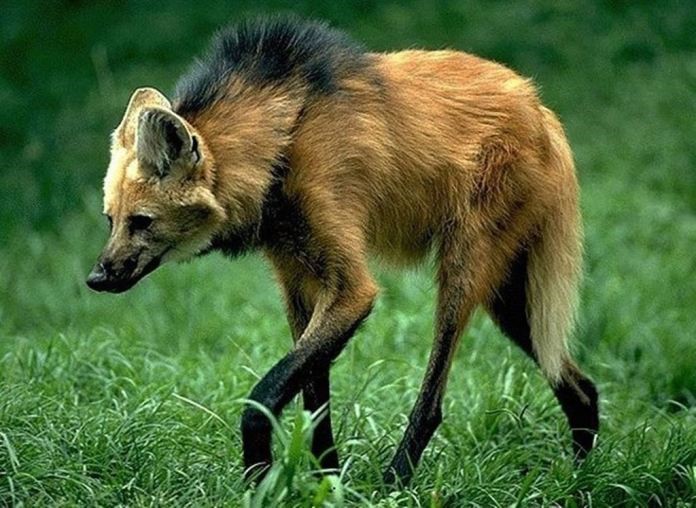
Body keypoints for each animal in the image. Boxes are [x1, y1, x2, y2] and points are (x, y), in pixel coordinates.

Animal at [87, 16, 598, 485]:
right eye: (111, 220)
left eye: (142, 222)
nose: (97, 277)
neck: (281, 146)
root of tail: (539, 107)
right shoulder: (299, 282)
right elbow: (315, 401)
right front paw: (327, 482)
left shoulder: (350, 288)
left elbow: (263, 398)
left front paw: (260, 480)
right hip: (509, 297)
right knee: (582, 387)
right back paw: (578, 479)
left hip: (464, 273)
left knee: (434, 400)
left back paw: (395, 482)